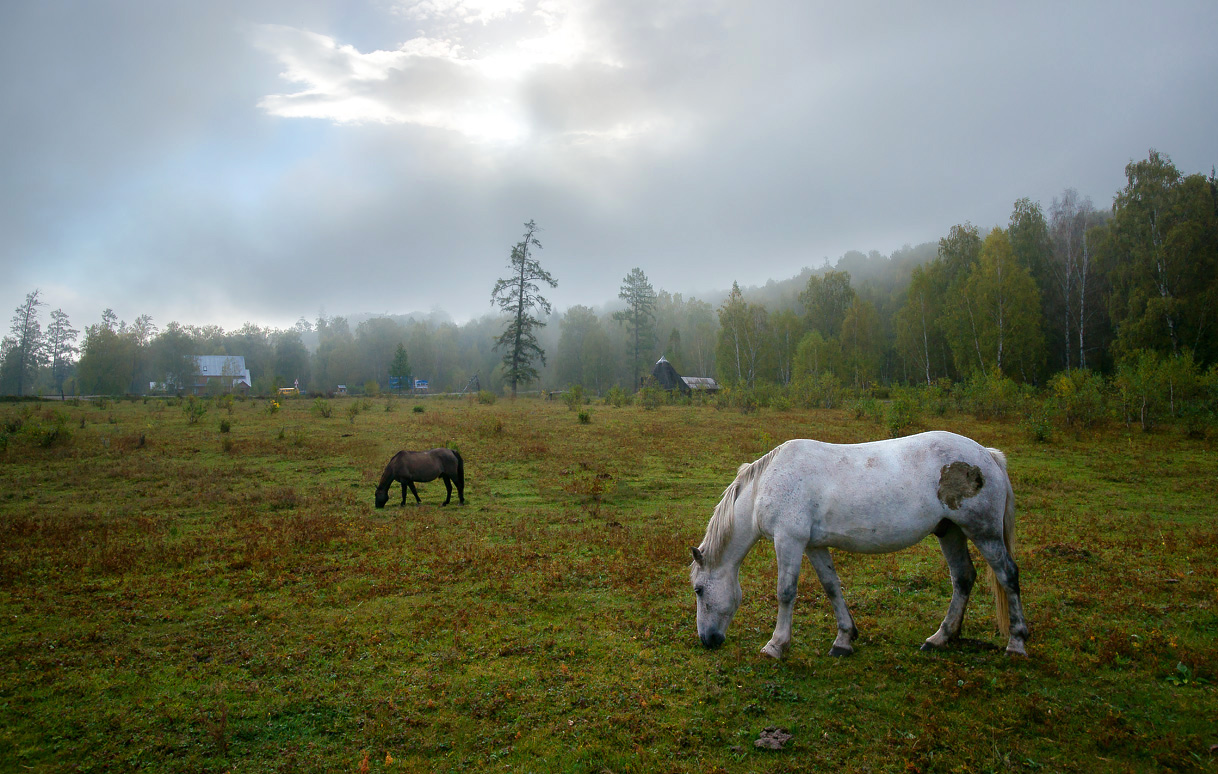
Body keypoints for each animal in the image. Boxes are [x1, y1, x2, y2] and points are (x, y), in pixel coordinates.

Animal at [691, 429, 1023, 658]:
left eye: (698, 590)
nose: (707, 640)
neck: (765, 485)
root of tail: (987, 455)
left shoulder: (789, 541)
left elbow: (785, 592)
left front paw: (775, 645)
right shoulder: (813, 545)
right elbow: (831, 587)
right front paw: (844, 639)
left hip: (984, 532)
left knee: (1007, 575)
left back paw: (1016, 643)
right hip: (950, 532)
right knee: (963, 578)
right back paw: (940, 638)